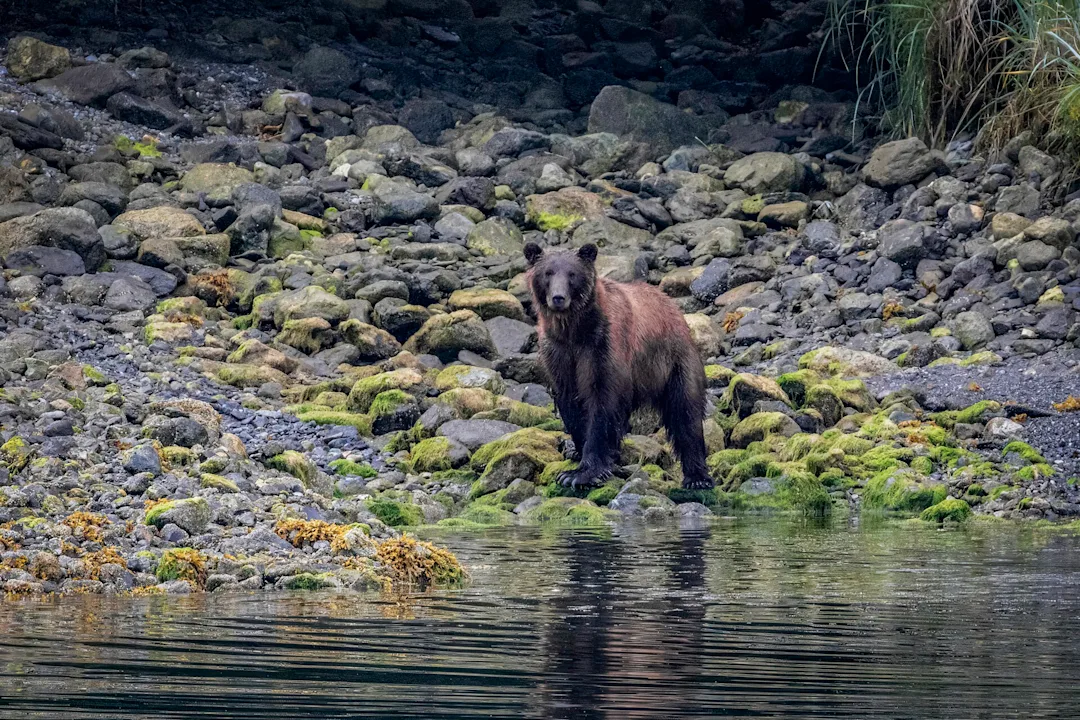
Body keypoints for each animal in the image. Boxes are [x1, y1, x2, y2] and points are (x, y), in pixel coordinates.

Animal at [524, 241, 713, 490]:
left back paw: (697, 477)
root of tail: (675, 310)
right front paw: (578, 452)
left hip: (674, 362)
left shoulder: (603, 347)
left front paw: (580, 473)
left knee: (685, 411)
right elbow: (569, 400)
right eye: (548, 273)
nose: (558, 297)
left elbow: (602, 402)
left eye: (572, 274)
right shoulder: (559, 353)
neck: (575, 331)